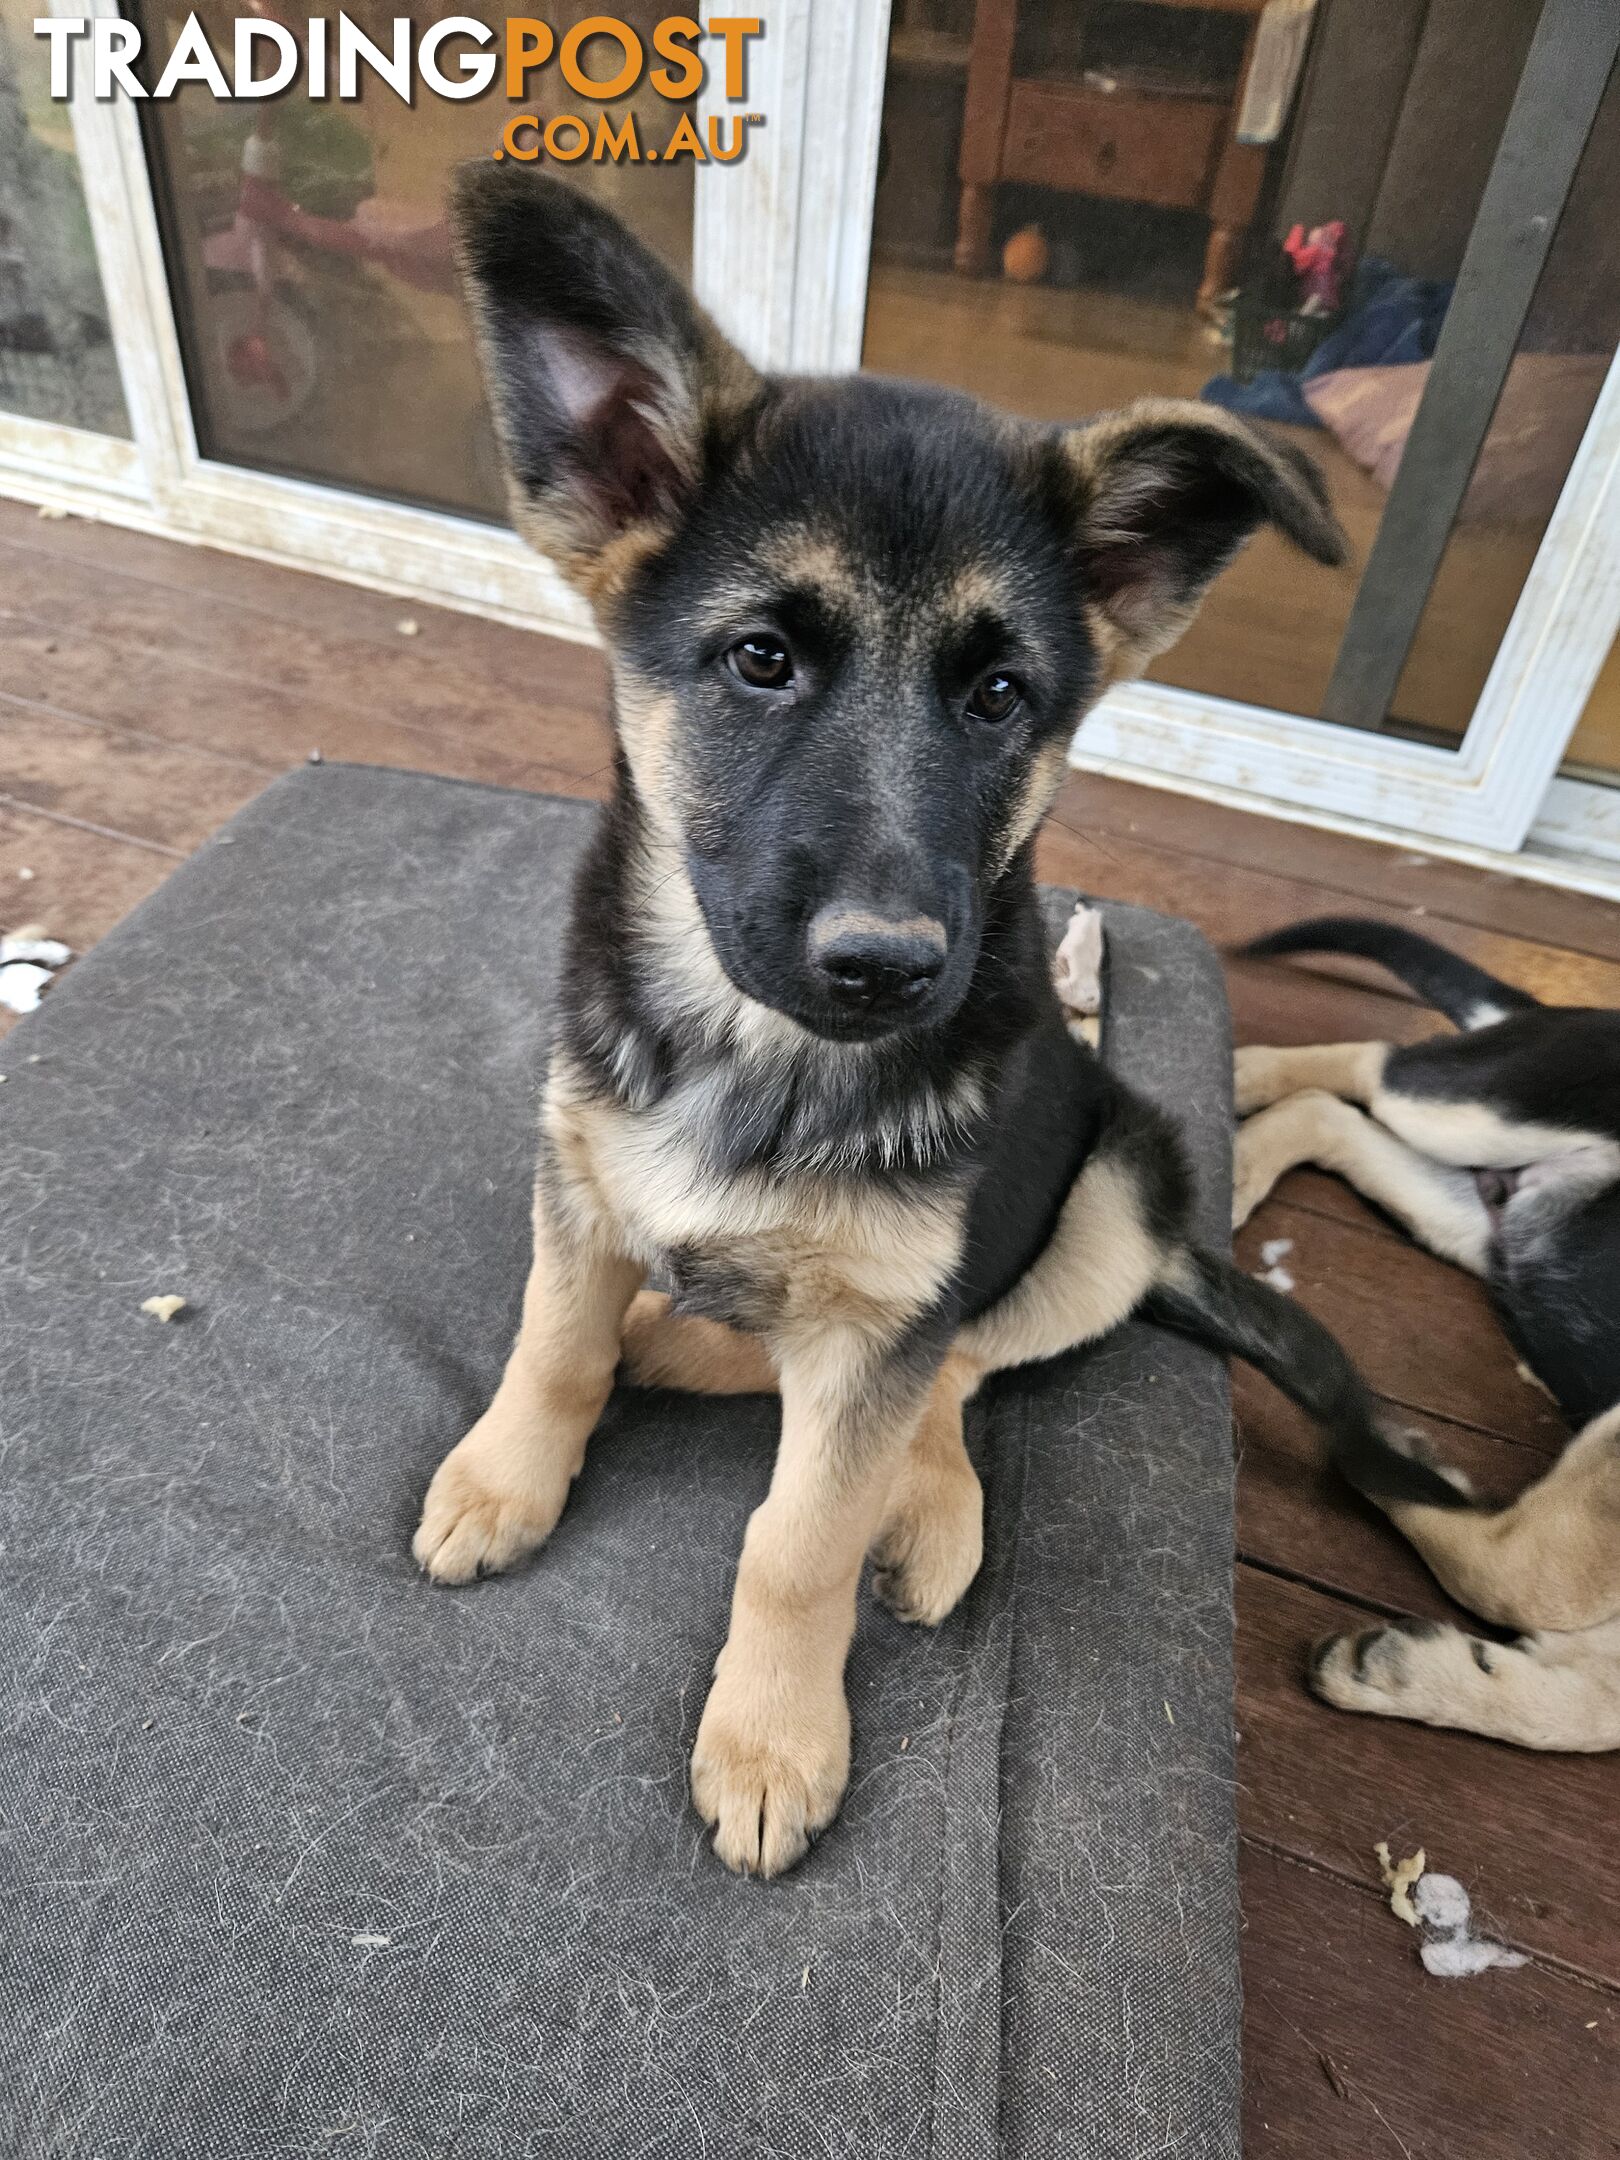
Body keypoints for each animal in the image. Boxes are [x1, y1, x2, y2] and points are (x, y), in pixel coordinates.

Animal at [414, 168, 1460, 1883]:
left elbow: (797, 1536)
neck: (760, 1060)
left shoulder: (889, 1316)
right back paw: (673, 1331)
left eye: (1000, 696)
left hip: (1109, 1196)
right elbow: (551, 1345)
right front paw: (512, 1475)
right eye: (762, 660)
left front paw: (773, 1733)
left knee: (959, 1369)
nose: (887, 967)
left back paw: (910, 1488)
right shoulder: (577, 1180)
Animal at [1235, 920, 1615, 1745]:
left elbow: (1586, 1709)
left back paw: (1246, 1157)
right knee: (1379, 1064)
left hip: (1490, 1221)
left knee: (1331, 1117)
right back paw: (1245, 1080)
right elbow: (1523, 1577)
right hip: (1487, 1111)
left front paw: (1411, 1675)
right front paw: (1400, 1461)